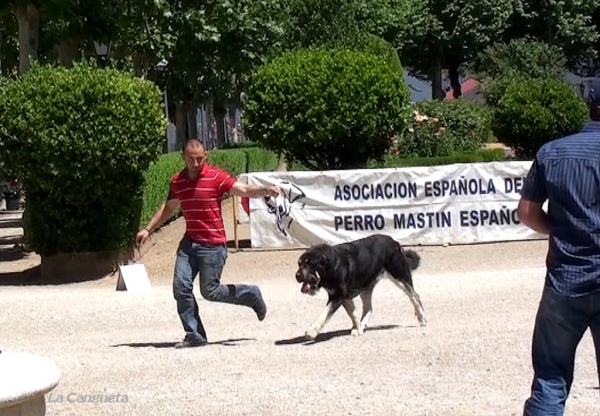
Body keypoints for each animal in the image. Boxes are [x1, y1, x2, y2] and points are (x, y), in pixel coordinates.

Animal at [294, 232, 426, 340]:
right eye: (299, 264)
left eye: (309, 264)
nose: (297, 276)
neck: (332, 267)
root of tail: (394, 241)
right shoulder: (344, 297)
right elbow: (353, 314)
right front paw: (357, 328)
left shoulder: (338, 297)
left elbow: (325, 314)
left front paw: (312, 332)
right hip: (366, 288)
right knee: (369, 308)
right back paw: (363, 326)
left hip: (400, 278)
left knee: (415, 296)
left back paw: (422, 318)